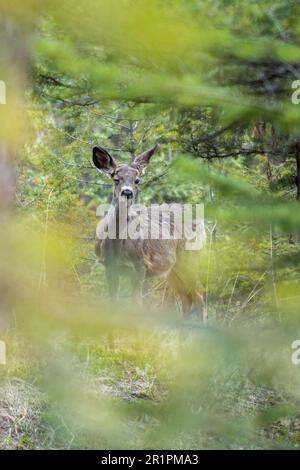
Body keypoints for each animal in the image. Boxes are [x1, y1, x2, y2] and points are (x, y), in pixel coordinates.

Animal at [94, 144, 206, 320]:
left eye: (137, 180)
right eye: (116, 179)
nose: (127, 192)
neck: (117, 247)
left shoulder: (140, 265)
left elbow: (136, 304)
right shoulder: (109, 267)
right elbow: (113, 304)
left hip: (190, 258)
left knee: (199, 293)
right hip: (173, 269)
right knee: (186, 298)